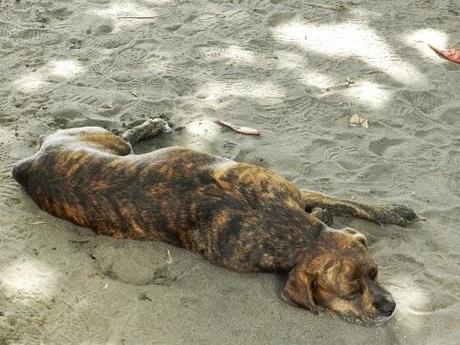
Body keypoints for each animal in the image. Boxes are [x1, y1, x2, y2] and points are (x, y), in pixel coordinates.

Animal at [12, 119, 418, 324]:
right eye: (348, 293)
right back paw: (150, 125)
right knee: (125, 135)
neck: (289, 229)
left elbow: (344, 201)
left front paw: (390, 211)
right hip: (104, 141)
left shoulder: (292, 193)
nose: (390, 307)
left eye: (376, 273)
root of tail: (27, 164)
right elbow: (328, 206)